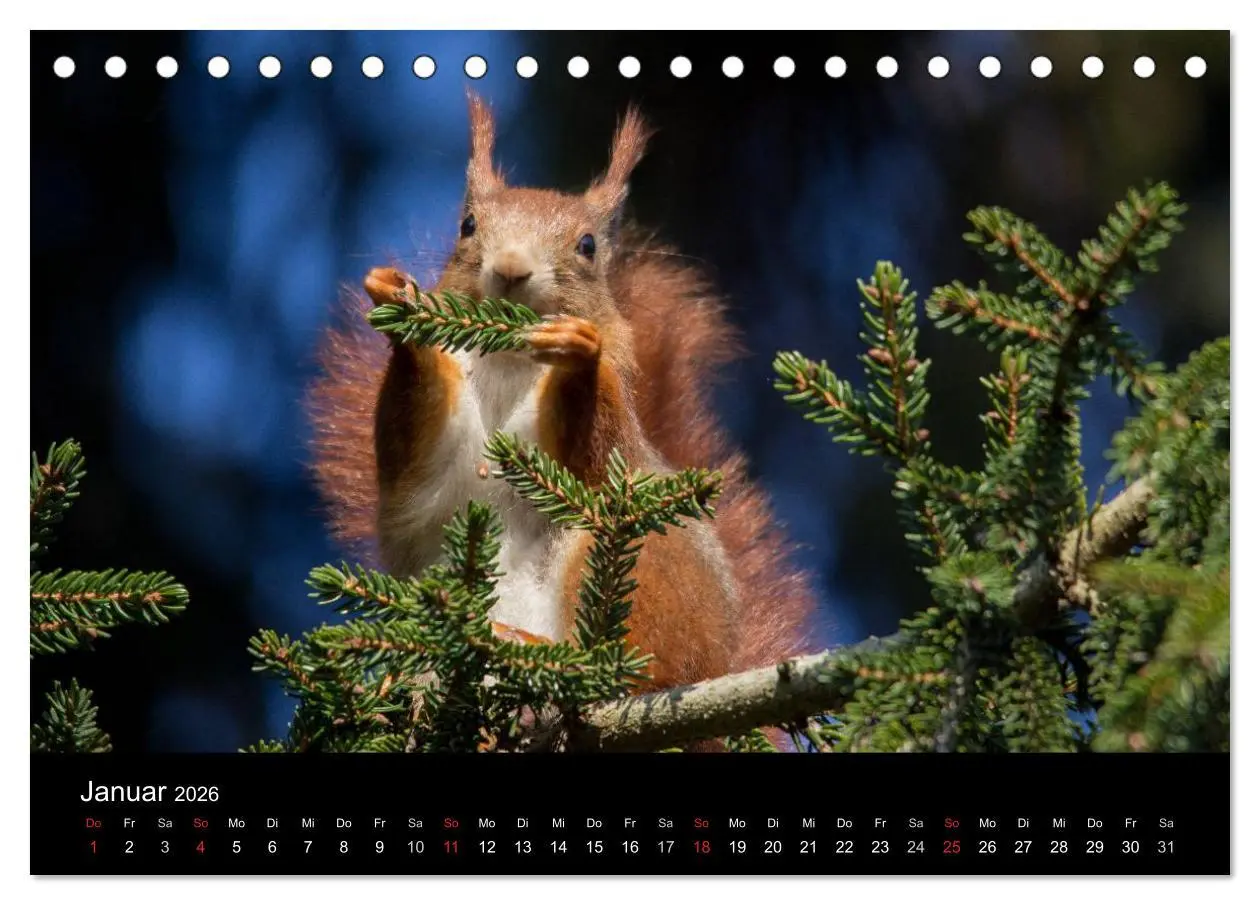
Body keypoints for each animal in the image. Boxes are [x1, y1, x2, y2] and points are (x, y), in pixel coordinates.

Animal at [305, 91, 817, 730]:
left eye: (588, 245)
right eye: (467, 225)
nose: (511, 266)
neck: (509, 362)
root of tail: (718, 664)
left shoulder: (613, 438)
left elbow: (594, 450)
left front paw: (579, 353)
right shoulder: (432, 467)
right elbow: (414, 445)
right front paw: (400, 304)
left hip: (638, 559)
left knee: (636, 668)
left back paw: (543, 654)